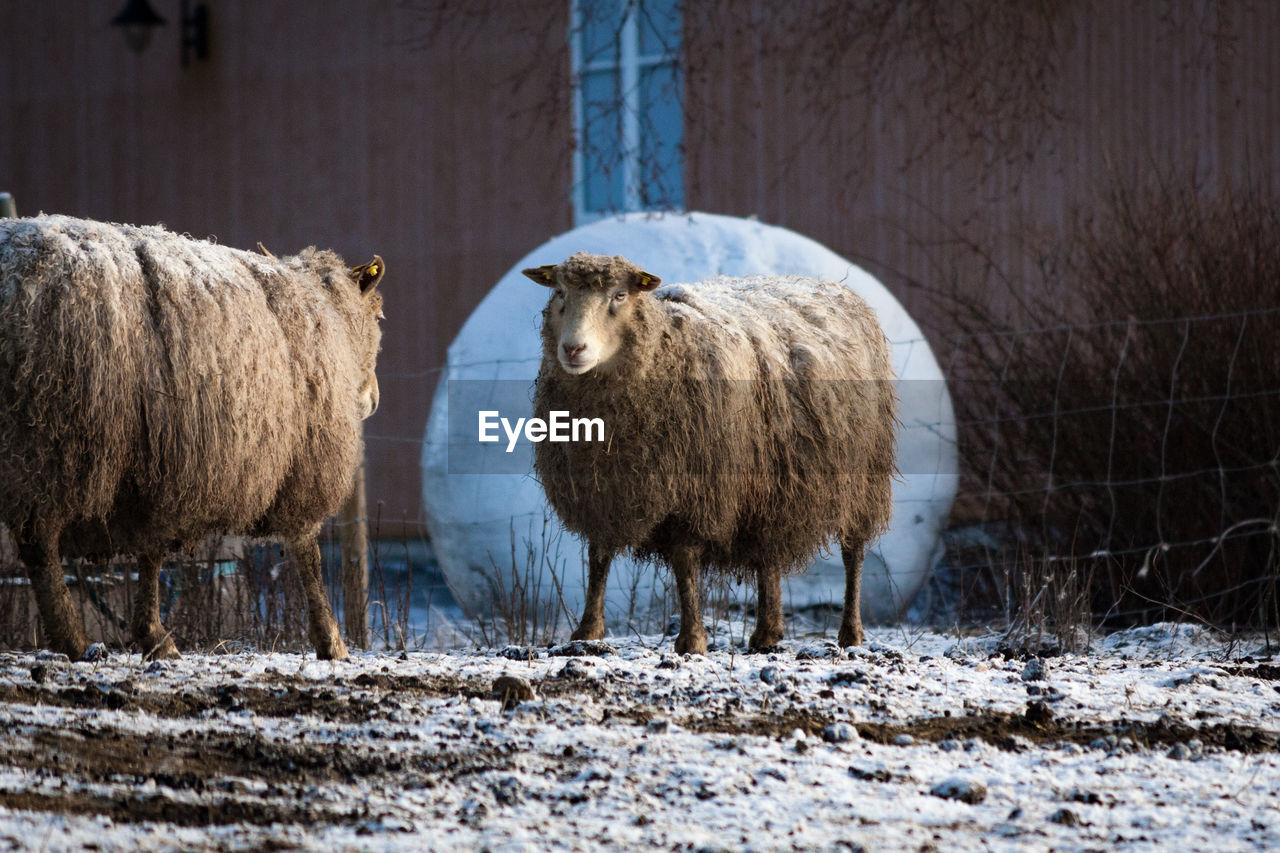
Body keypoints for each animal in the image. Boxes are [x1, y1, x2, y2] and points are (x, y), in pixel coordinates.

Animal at [0, 212, 384, 655]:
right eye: (376, 320)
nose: (374, 398)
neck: (330, 317)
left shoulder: (159, 467)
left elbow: (150, 552)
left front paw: (152, 635)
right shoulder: (302, 465)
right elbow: (309, 556)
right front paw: (331, 641)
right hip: (49, 443)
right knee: (40, 548)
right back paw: (75, 641)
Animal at [524, 251, 896, 650]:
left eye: (620, 295)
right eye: (559, 291)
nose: (573, 349)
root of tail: (838, 287)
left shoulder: (696, 488)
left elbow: (684, 562)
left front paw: (691, 639)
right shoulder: (599, 489)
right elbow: (598, 555)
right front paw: (587, 631)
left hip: (865, 474)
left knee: (853, 551)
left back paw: (850, 632)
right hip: (770, 482)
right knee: (769, 552)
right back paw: (766, 632)